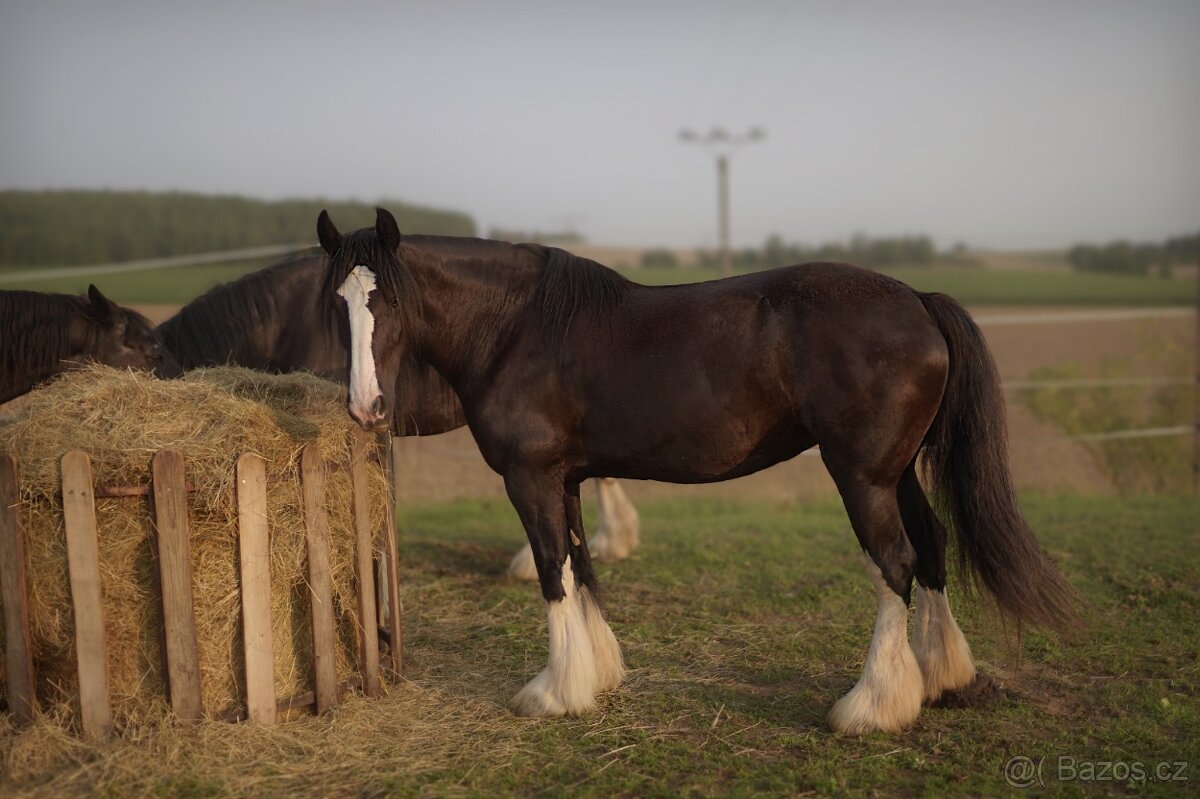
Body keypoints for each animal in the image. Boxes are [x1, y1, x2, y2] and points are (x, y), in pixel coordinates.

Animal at [316, 207, 1076, 735]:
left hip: (861, 477)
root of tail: (918, 299)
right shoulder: (568, 477)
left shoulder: (530, 477)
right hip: (897, 471)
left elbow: (551, 569)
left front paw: (554, 692)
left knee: (895, 563)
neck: (516, 329)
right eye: (338, 303)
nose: (365, 407)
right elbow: (582, 563)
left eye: (388, 300)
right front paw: (599, 675)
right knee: (934, 544)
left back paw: (871, 706)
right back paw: (942, 676)